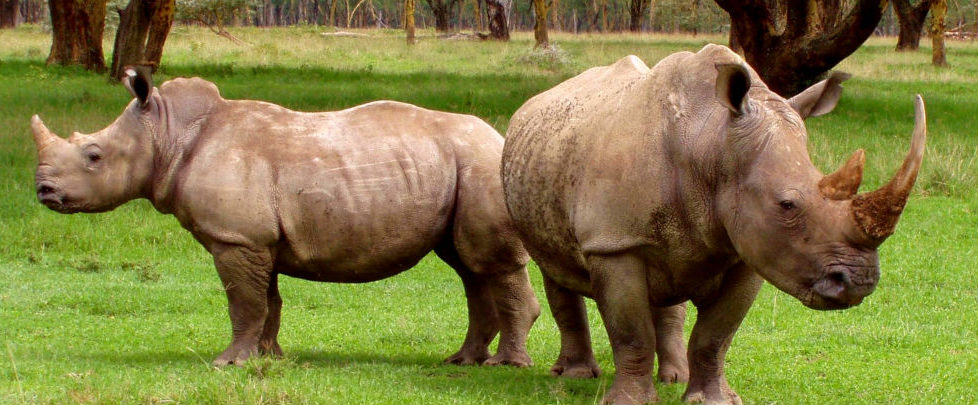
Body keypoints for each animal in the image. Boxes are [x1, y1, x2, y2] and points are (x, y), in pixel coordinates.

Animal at [28, 68, 540, 366]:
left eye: (93, 156)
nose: (43, 191)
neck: (167, 133)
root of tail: (500, 135)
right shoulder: (256, 239)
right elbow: (267, 302)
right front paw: (267, 358)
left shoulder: (235, 237)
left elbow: (244, 302)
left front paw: (228, 363)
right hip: (461, 167)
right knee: (468, 265)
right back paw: (462, 361)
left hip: (480, 164)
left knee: (489, 263)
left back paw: (505, 366)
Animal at [500, 42, 928, 402]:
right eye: (787, 204)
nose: (859, 283)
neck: (711, 145)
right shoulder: (614, 242)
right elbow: (631, 332)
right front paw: (629, 401)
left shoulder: (750, 251)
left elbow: (716, 335)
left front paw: (712, 399)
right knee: (555, 270)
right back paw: (574, 376)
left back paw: (673, 377)